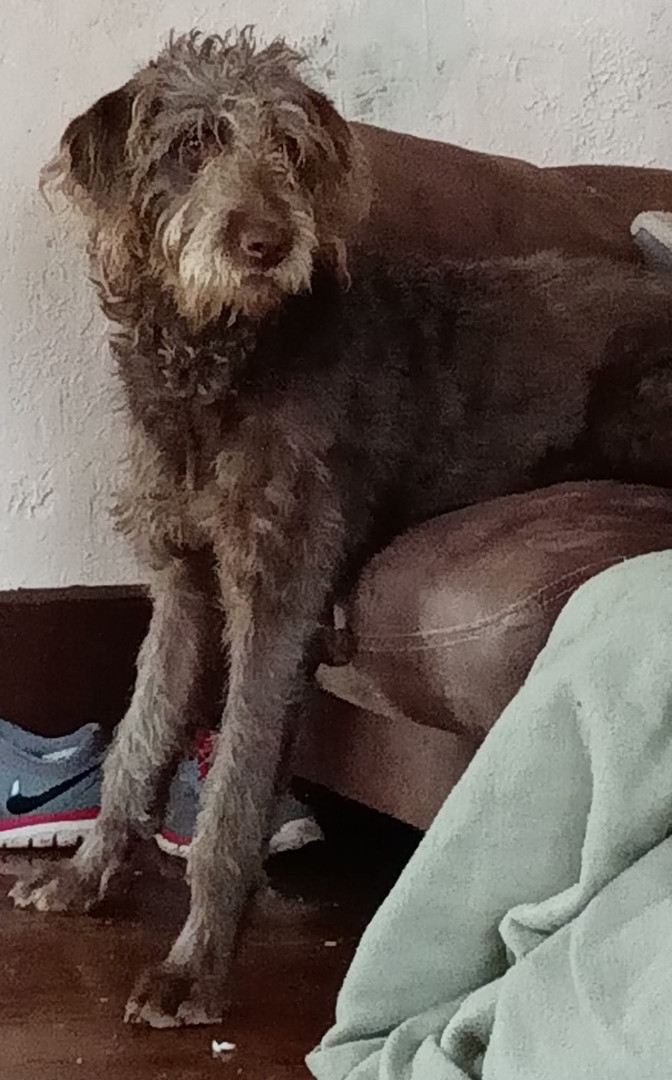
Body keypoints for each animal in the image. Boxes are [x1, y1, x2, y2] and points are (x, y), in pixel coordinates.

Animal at [10, 29, 672, 1028]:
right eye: (194, 143)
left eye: (288, 147)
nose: (267, 243)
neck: (223, 357)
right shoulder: (186, 582)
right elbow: (138, 740)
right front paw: (87, 880)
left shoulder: (279, 595)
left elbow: (236, 799)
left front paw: (194, 971)